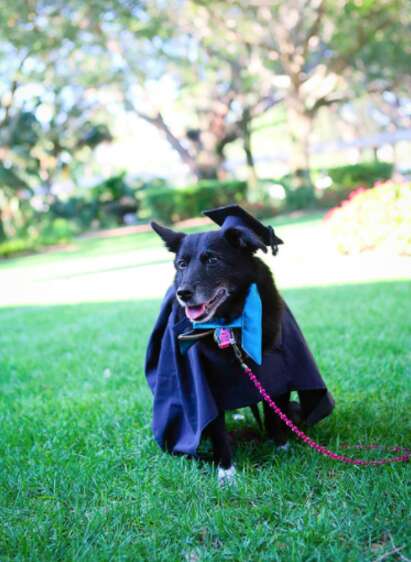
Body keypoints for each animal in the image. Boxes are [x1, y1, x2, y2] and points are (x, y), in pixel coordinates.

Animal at [147, 206, 334, 482]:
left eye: (212, 261)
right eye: (181, 264)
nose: (183, 294)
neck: (231, 324)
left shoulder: (277, 377)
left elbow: (275, 416)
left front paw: (282, 448)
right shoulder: (206, 390)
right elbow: (218, 431)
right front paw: (227, 472)